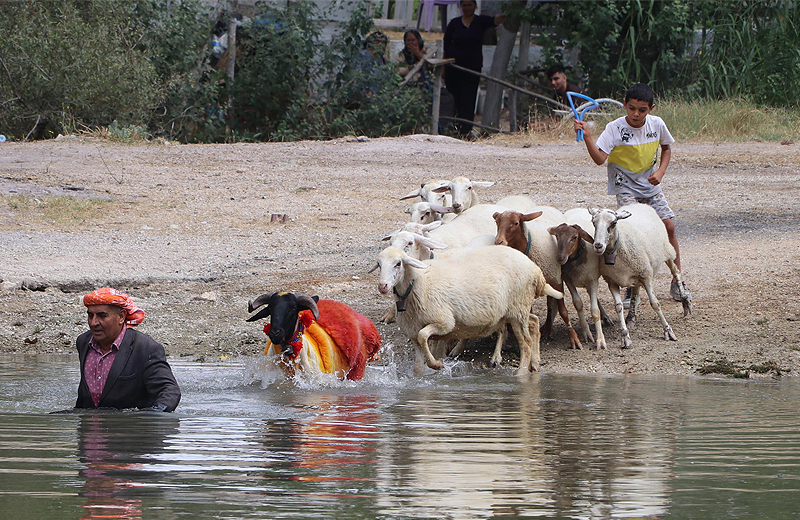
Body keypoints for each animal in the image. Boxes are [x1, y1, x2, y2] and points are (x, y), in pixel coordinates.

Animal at [376, 246, 564, 376]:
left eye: (398, 263)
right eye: (379, 264)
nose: (382, 286)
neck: (419, 282)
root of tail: (536, 271)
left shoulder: (444, 322)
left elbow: (424, 336)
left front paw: (437, 364)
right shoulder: (413, 332)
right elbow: (417, 364)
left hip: (518, 309)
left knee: (526, 343)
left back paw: (521, 373)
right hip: (514, 311)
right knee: (534, 322)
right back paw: (535, 363)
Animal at [588, 204, 692, 350]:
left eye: (613, 223)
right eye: (593, 222)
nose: (598, 246)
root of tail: (639, 204)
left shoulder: (646, 275)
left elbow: (655, 303)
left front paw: (668, 330)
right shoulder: (612, 281)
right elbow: (618, 307)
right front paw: (625, 336)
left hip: (667, 251)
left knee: (675, 271)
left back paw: (685, 302)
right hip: (636, 271)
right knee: (635, 290)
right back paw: (631, 317)